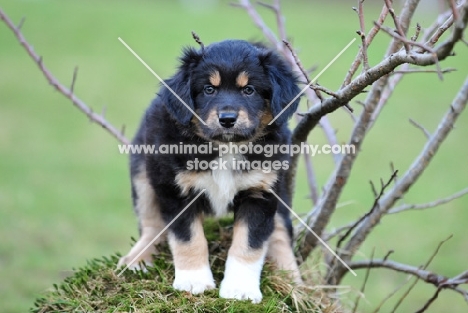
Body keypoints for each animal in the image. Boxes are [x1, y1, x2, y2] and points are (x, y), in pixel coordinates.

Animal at [119, 39, 302, 302]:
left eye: (249, 90)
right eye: (208, 89)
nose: (227, 119)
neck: (226, 147)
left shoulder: (260, 191)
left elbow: (250, 243)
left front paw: (240, 289)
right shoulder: (177, 191)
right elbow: (189, 239)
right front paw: (193, 281)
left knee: (279, 230)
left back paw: (292, 279)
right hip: (143, 175)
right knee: (151, 223)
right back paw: (138, 260)